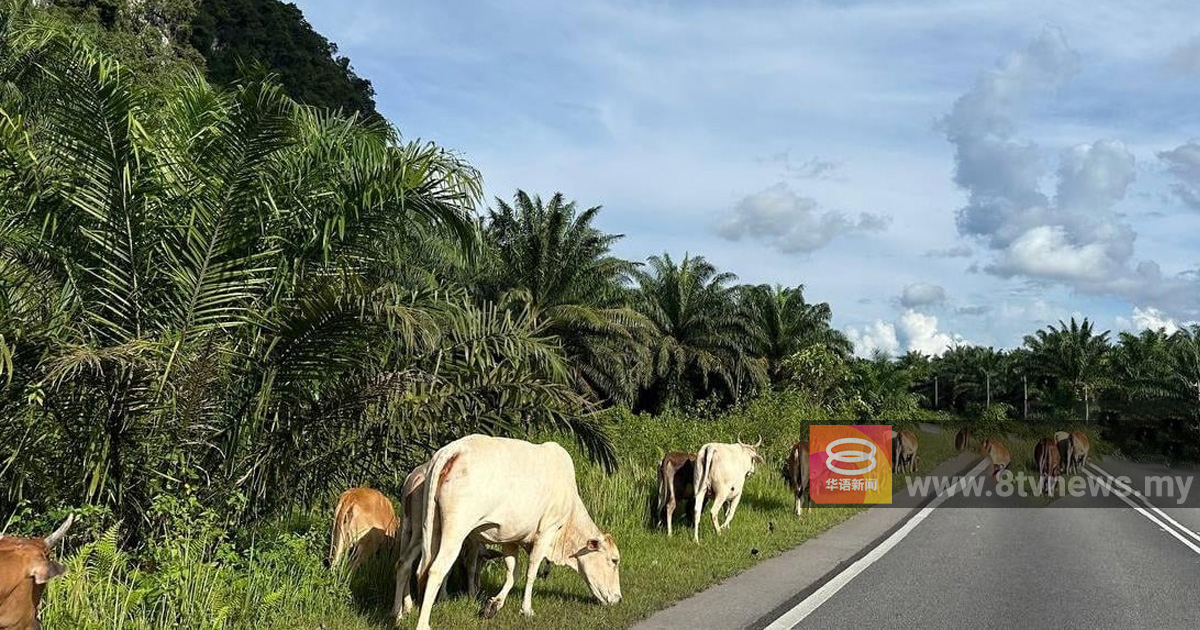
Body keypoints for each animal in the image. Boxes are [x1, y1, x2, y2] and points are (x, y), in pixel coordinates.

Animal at [415, 434, 619, 628]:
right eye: (614, 560)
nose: (618, 598)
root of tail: (454, 449)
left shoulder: (509, 539)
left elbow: (513, 573)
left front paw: (493, 605)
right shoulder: (547, 531)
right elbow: (531, 571)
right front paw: (526, 609)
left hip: (434, 528)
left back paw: (440, 600)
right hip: (456, 529)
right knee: (437, 569)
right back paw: (423, 623)